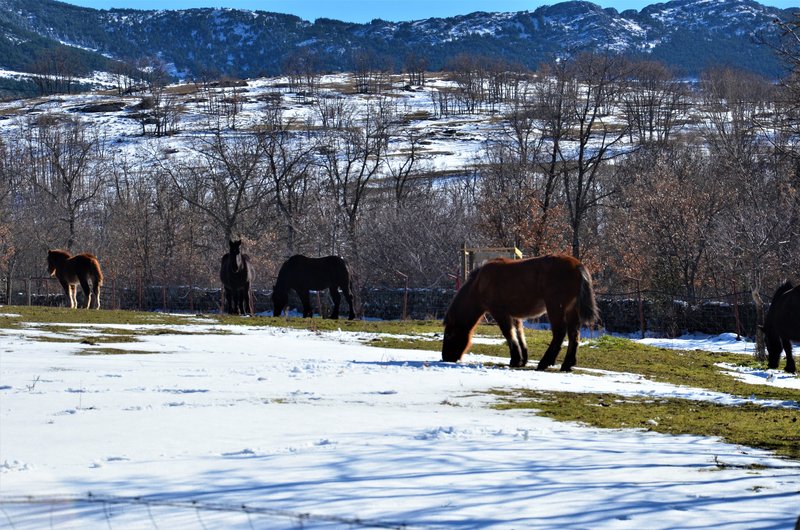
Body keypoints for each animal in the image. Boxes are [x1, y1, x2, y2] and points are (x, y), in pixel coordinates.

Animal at [440, 253, 596, 370]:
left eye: (448, 334)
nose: (446, 357)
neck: (479, 283)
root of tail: (578, 266)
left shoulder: (499, 312)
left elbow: (509, 333)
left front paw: (515, 359)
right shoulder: (515, 315)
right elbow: (519, 333)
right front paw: (523, 359)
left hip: (555, 307)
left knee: (559, 333)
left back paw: (544, 363)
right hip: (571, 310)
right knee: (574, 333)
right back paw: (567, 364)